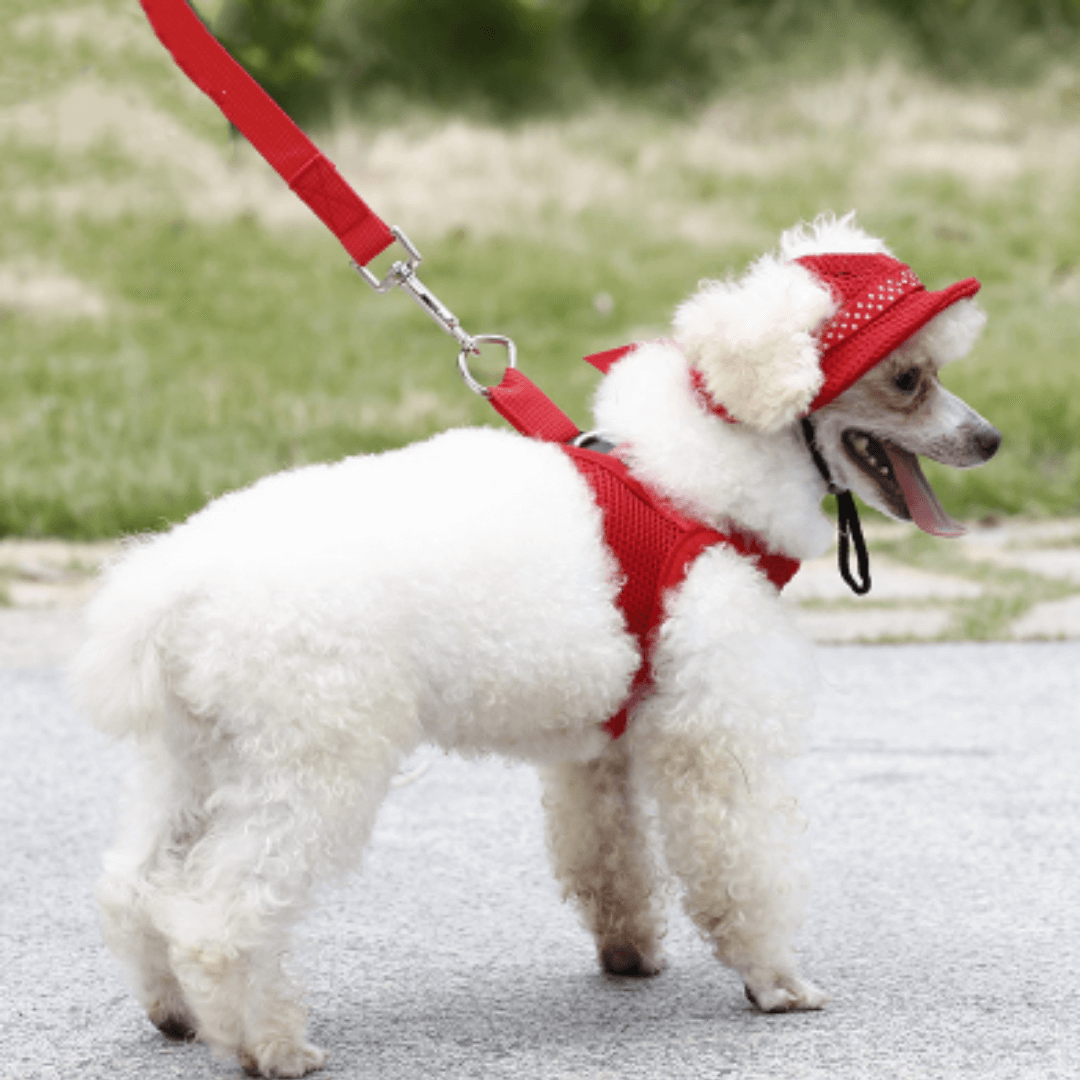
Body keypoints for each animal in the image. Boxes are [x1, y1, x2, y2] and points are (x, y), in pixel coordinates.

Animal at [73, 214, 1002, 1075]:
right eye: (908, 379)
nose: (991, 440)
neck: (686, 486)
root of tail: (176, 583)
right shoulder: (715, 733)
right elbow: (742, 865)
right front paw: (776, 982)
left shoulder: (603, 745)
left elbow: (609, 854)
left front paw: (629, 954)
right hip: (311, 759)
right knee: (221, 912)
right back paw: (268, 1044)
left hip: (200, 757)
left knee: (133, 883)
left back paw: (175, 1012)